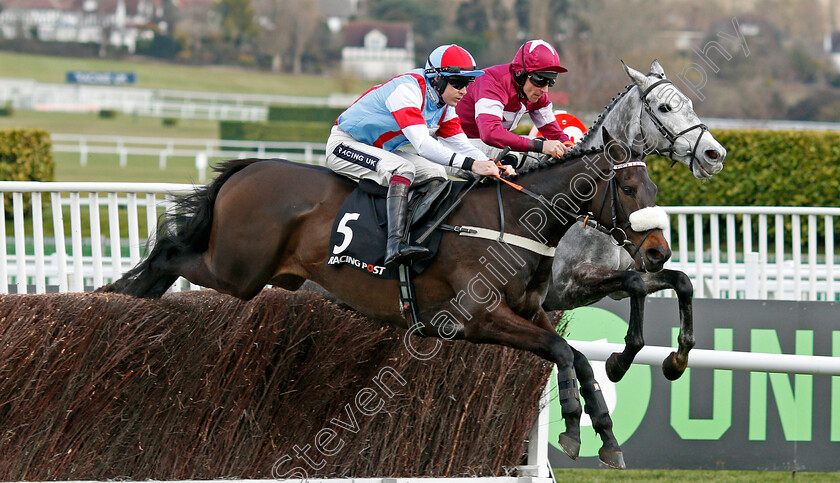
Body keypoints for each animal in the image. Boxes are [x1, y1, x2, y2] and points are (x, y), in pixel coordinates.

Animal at [101, 129, 668, 468]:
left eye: (657, 190)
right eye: (630, 190)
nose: (659, 252)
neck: (514, 221)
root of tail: (250, 167)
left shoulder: (531, 312)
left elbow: (574, 355)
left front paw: (603, 435)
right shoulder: (480, 318)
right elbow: (561, 353)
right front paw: (576, 426)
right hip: (234, 270)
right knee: (168, 252)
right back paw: (113, 298)